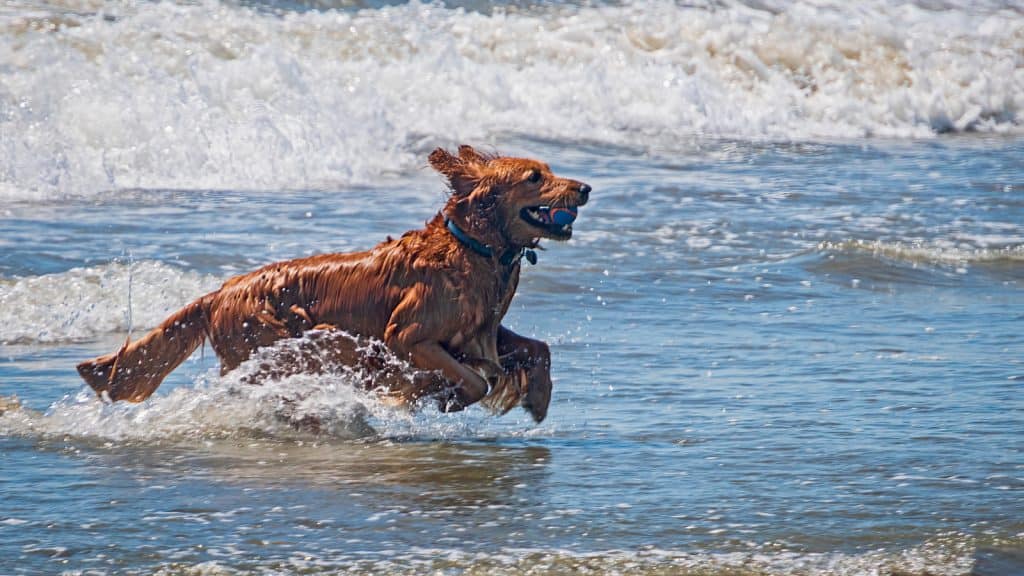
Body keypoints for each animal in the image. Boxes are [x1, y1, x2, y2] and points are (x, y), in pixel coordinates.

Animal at [75, 144, 593, 422]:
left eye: (550, 171)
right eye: (534, 177)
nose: (585, 187)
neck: (473, 248)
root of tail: (220, 292)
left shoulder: (480, 329)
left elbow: (536, 348)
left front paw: (539, 397)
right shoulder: (405, 336)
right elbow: (473, 380)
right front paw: (440, 397)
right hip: (304, 340)